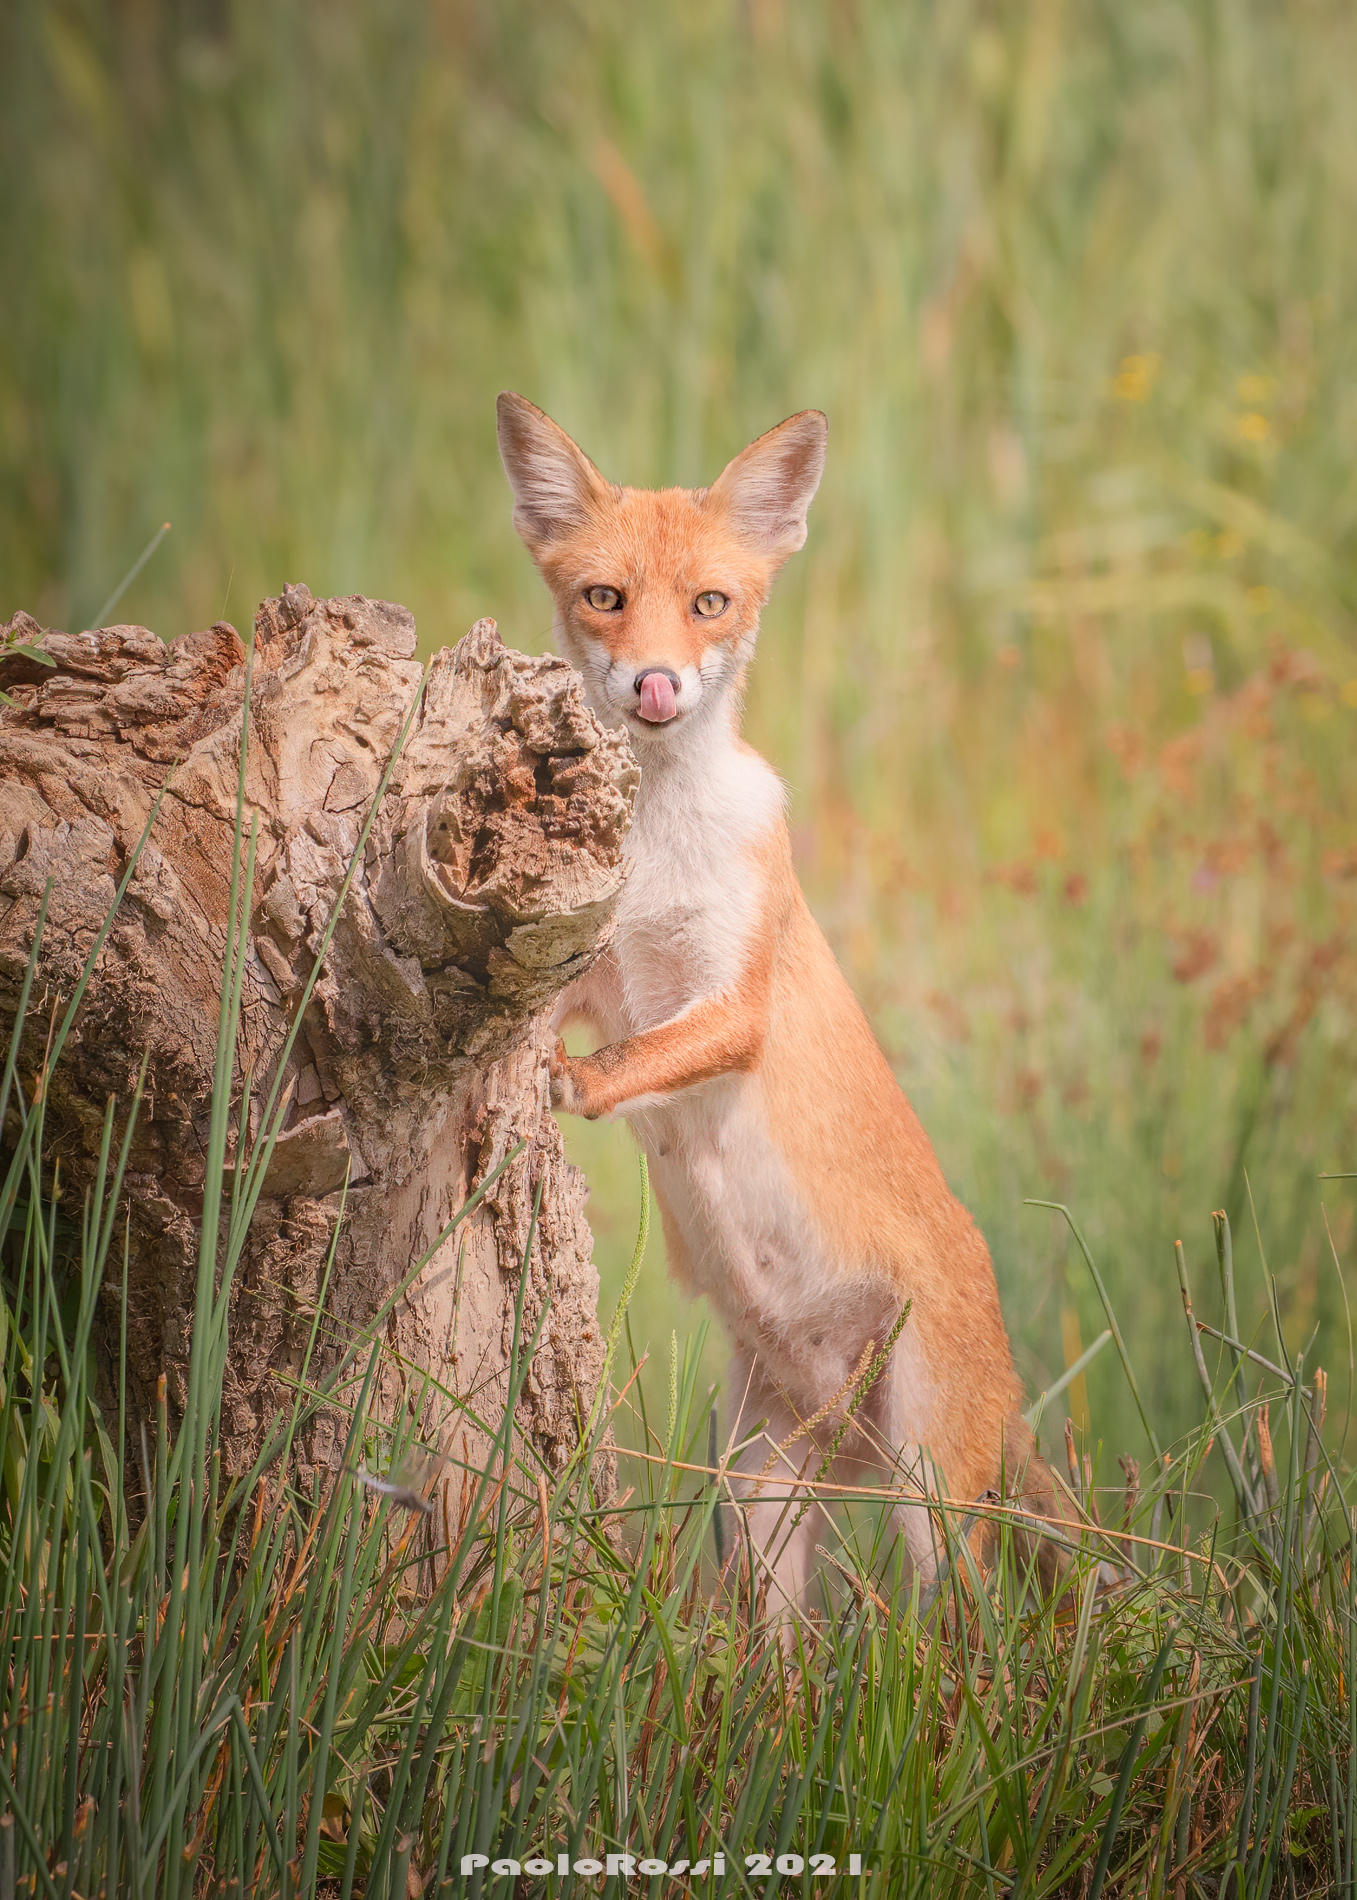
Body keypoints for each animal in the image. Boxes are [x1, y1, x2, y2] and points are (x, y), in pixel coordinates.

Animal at [496, 392, 1061, 1625]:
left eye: (710, 604)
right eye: (604, 598)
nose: (656, 685)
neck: (657, 851)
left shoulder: (732, 996)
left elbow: (637, 1057)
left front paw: (569, 1087)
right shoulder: (595, 972)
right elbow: (571, 1017)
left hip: (930, 1502)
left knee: (974, 1644)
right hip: (757, 1492)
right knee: (780, 1653)